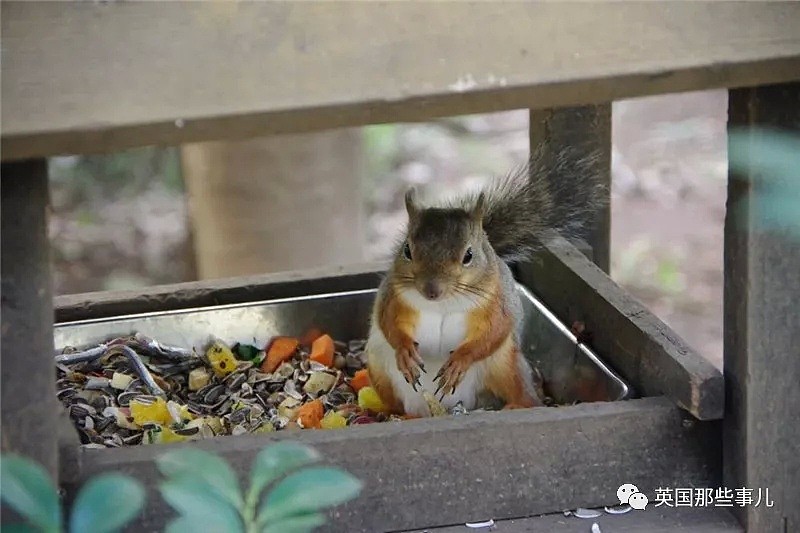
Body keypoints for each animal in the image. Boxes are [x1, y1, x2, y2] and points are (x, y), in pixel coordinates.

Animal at [366, 144, 604, 416]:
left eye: (468, 255)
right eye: (407, 250)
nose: (431, 290)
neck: (443, 303)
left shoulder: (497, 300)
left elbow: (495, 330)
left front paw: (460, 361)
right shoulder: (392, 296)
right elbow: (388, 322)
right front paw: (405, 351)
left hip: (506, 367)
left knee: (524, 394)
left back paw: (516, 405)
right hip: (379, 369)